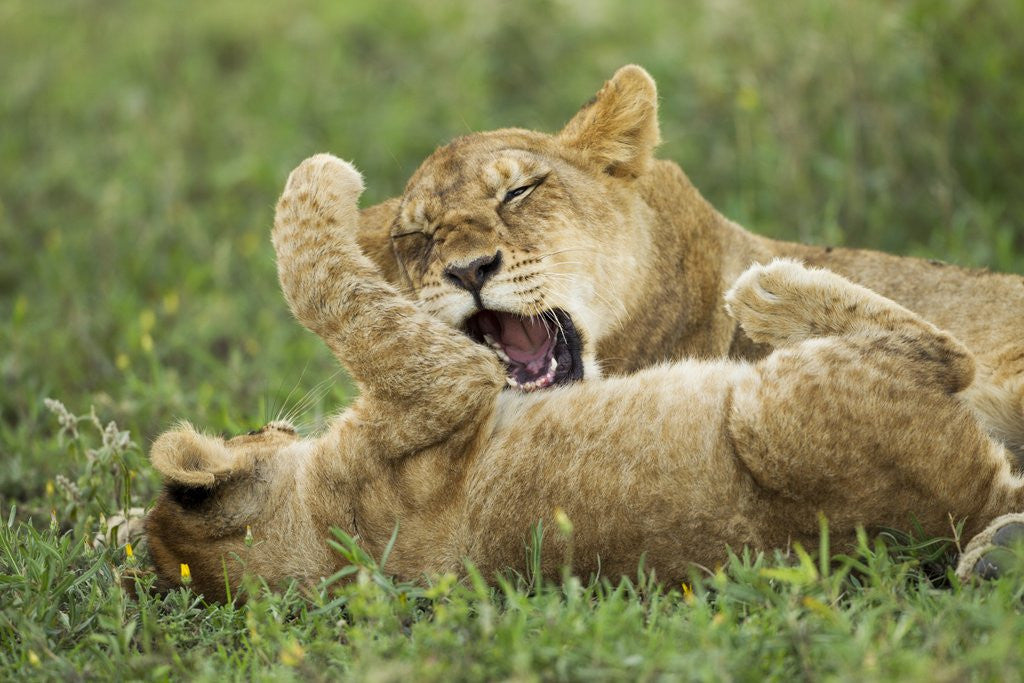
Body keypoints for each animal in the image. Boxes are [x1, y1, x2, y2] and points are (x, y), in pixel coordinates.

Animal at [144, 155, 1024, 599]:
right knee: (945, 352)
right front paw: (323, 175)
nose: (279, 420)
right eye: (257, 430)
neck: (319, 543)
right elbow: (320, 281)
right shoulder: (437, 383)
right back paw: (769, 292)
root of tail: (963, 507)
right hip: (775, 413)